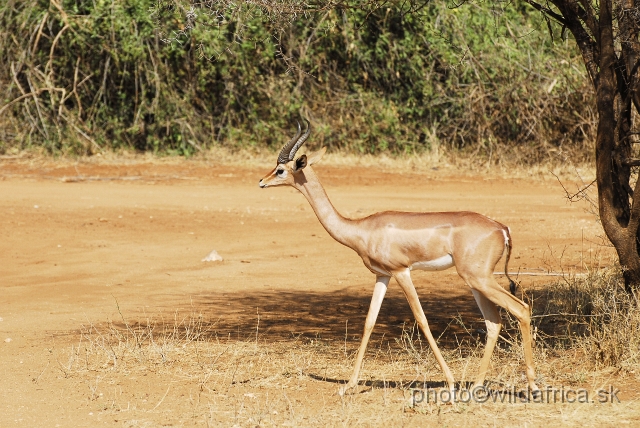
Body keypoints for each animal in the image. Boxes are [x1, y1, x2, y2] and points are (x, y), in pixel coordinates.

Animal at [258, 119, 536, 394]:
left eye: (281, 169)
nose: (261, 181)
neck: (362, 229)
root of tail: (501, 228)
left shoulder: (402, 271)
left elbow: (421, 320)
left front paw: (450, 382)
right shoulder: (382, 276)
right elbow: (369, 321)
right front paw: (349, 385)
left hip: (478, 278)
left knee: (521, 309)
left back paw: (531, 386)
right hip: (476, 281)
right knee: (494, 322)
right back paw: (477, 385)